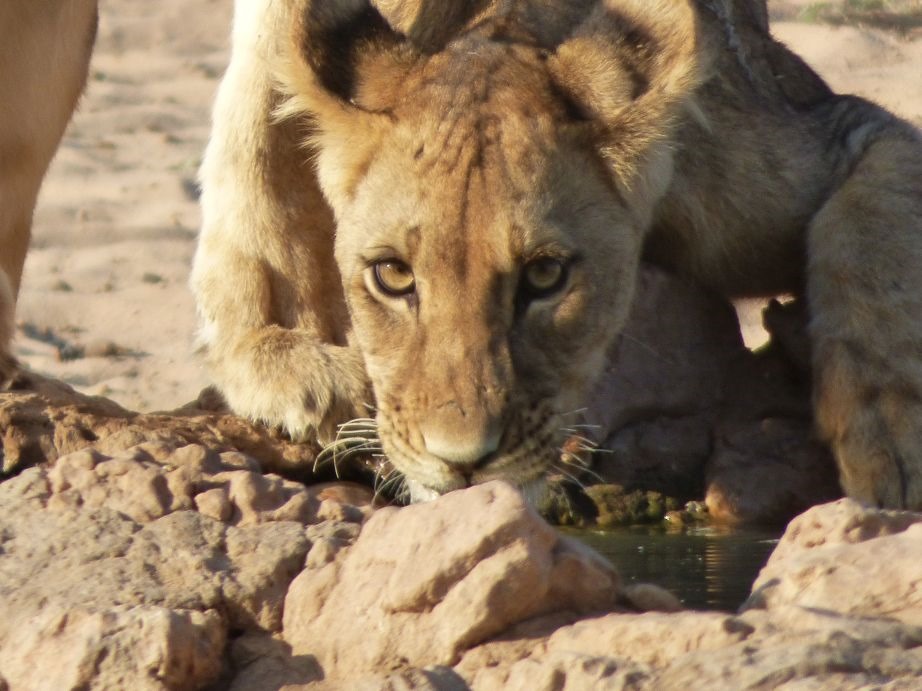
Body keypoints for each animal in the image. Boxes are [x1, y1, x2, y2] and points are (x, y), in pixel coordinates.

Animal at [192, 0, 922, 510]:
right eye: (393, 275)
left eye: (545, 275)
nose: (462, 461)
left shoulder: (823, 135)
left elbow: (871, 239)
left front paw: (891, 442)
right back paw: (287, 357)